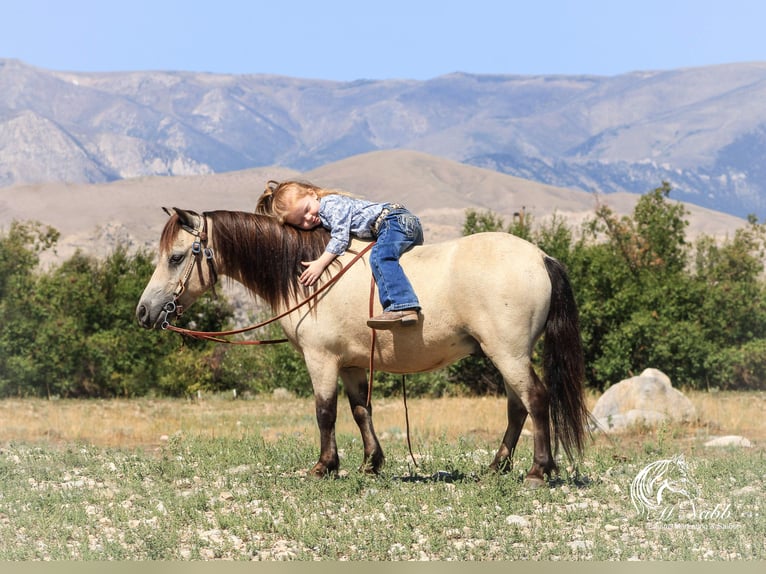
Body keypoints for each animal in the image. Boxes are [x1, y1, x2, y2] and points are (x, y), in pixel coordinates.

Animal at [135, 208, 592, 486]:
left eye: (176, 257)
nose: (144, 311)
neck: (309, 275)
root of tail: (541, 258)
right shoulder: (353, 363)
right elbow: (360, 411)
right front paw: (371, 463)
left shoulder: (321, 359)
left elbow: (324, 413)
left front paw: (324, 466)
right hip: (504, 354)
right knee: (518, 408)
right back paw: (497, 466)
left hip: (508, 353)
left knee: (536, 399)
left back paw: (538, 470)